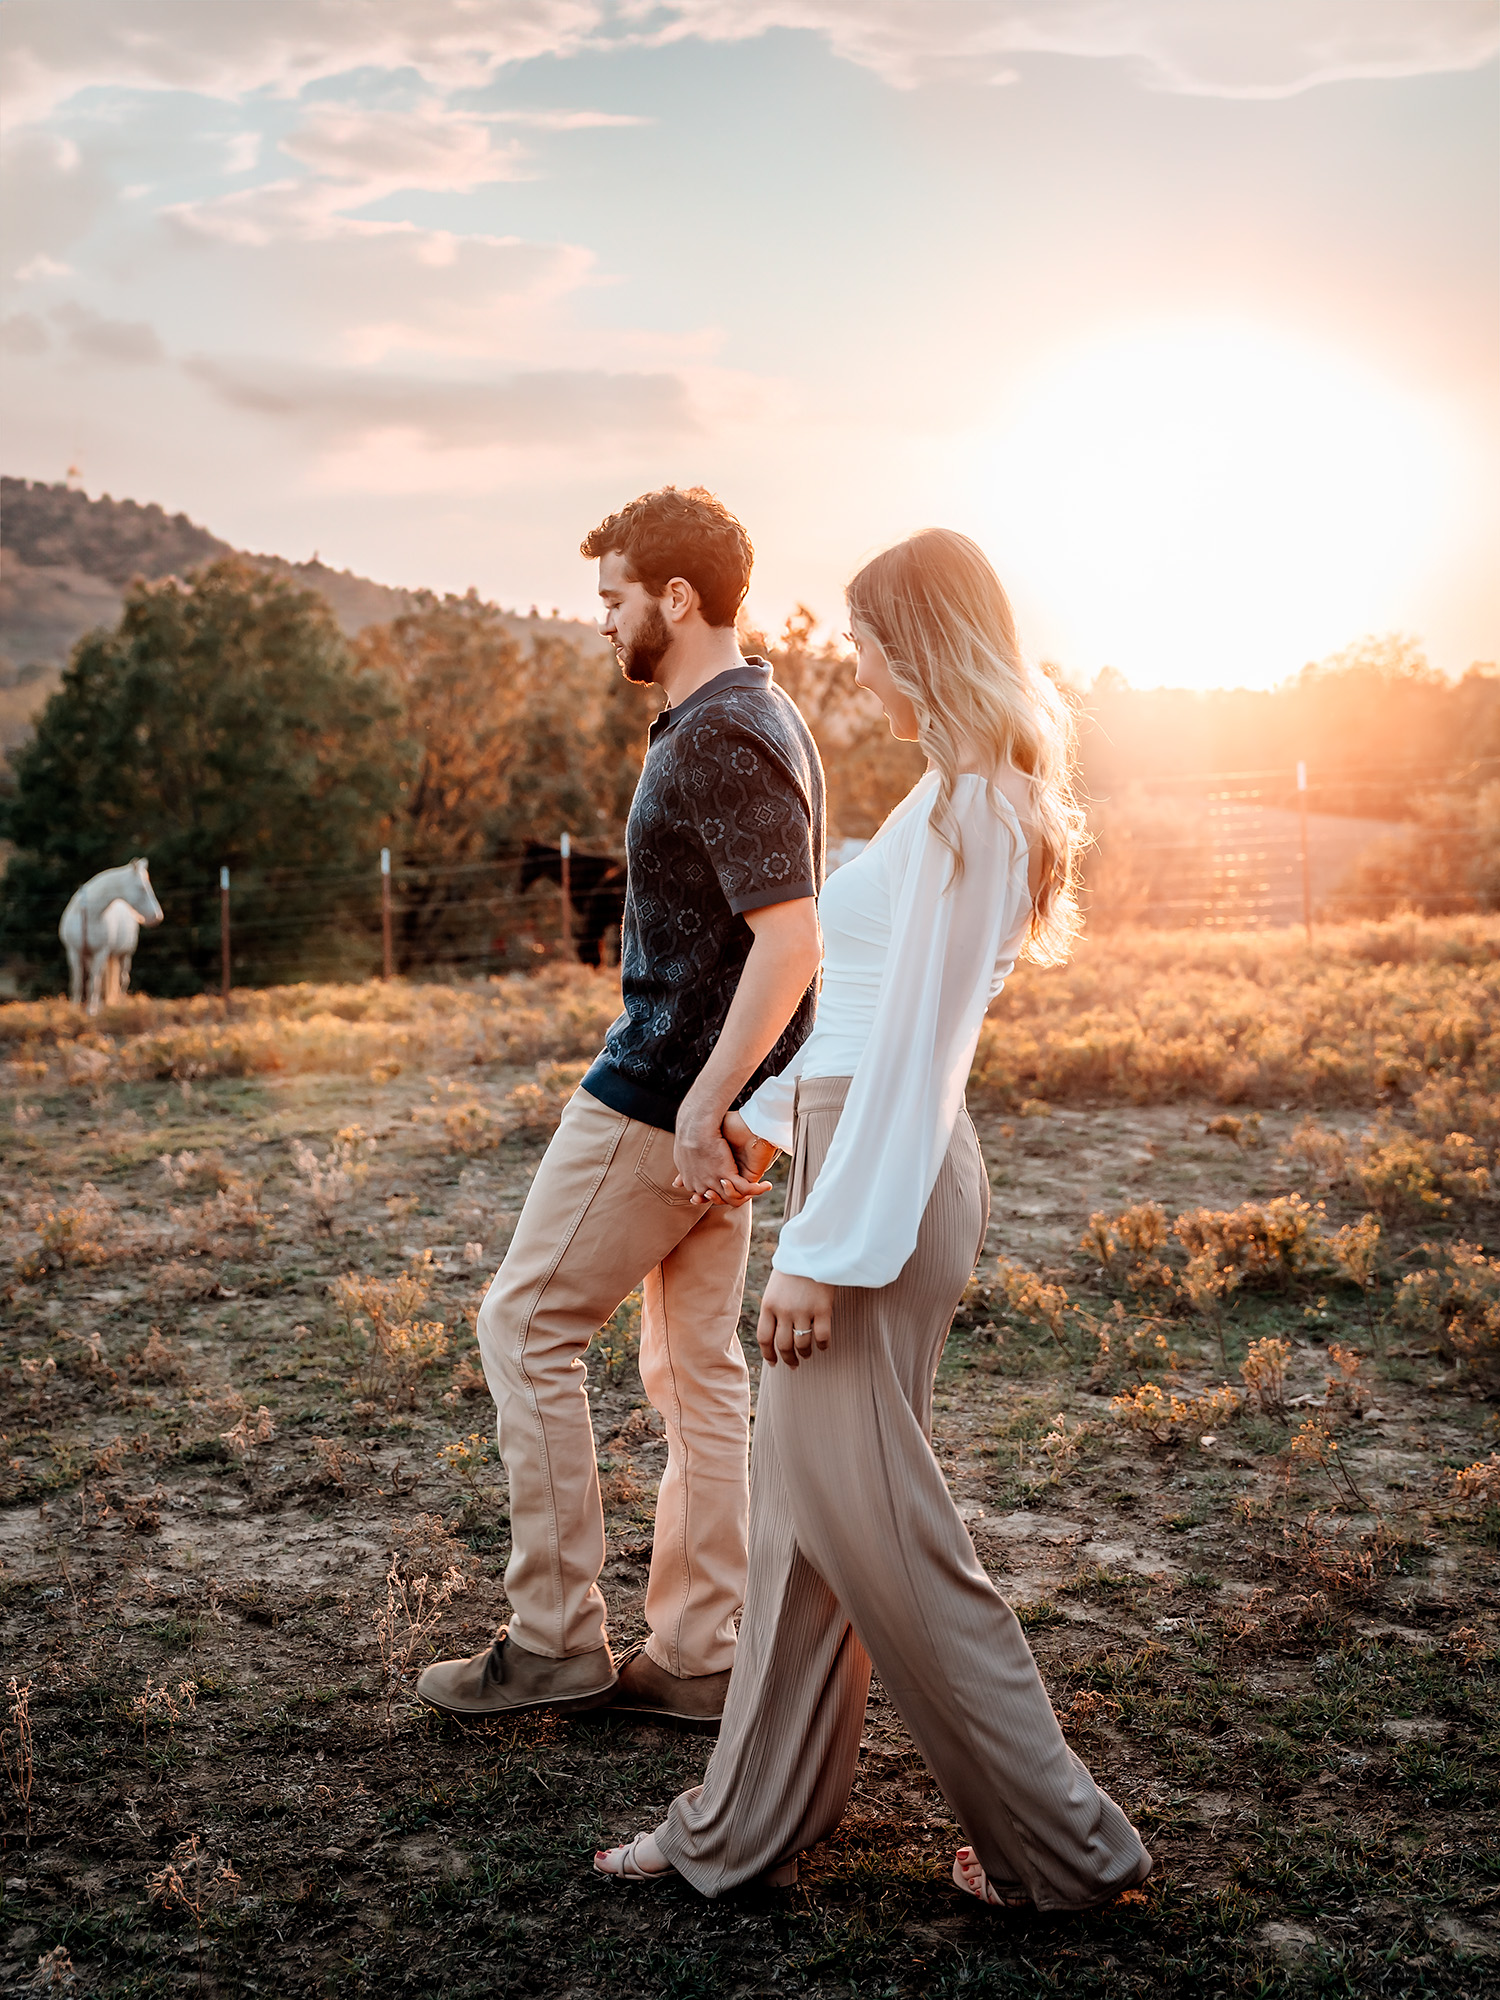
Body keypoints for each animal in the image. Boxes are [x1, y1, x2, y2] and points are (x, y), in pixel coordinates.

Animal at [60, 860, 164, 1016]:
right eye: (142, 888)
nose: (157, 917)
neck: (87, 912)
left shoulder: (100, 953)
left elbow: (95, 983)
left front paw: (92, 1010)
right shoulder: (74, 952)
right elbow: (77, 983)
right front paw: (74, 1010)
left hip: (124, 955)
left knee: (123, 979)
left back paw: (119, 1004)